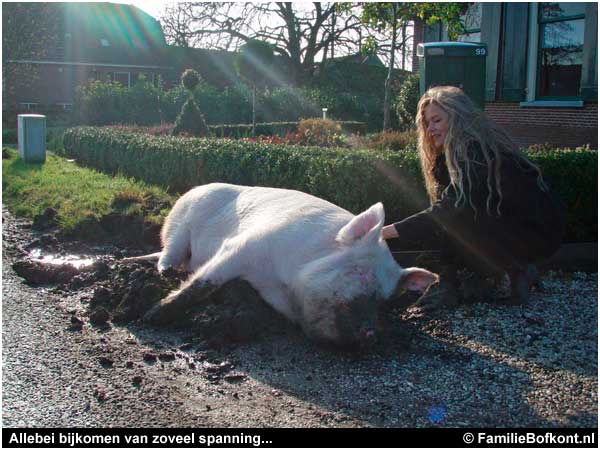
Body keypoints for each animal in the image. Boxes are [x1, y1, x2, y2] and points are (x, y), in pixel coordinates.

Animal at [139, 183, 436, 348]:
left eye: (386, 300)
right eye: (360, 274)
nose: (371, 334)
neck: (282, 282)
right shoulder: (242, 246)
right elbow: (203, 282)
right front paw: (152, 316)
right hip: (178, 225)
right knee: (170, 253)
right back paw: (165, 274)